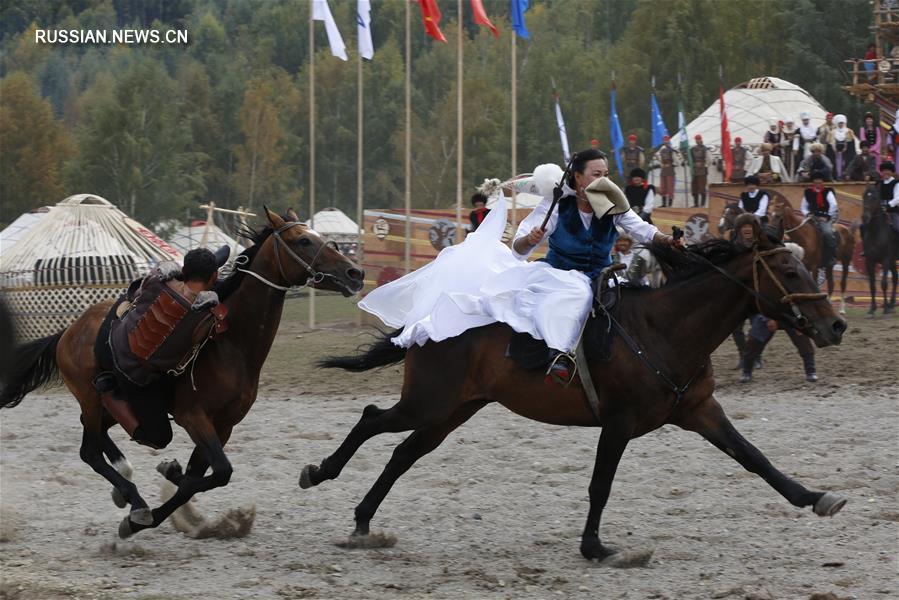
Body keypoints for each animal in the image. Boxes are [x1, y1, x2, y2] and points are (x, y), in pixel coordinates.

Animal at [1, 209, 366, 536]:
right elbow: (217, 473)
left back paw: (124, 481)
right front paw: (143, 514)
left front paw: (165, 492)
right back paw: (133, 497)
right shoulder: (194, 417)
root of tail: (67, 332)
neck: (230, 343)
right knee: (90, 450)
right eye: (303, 240)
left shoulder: (223, 426)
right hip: (95, 398)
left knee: (93, 437)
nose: (355, 273)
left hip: (116, 406)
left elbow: (199, 479)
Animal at [302, 226, 852, 564]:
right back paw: (320, 474)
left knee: (403, 452)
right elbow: (600, 485)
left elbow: (753, 457)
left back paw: (363, 522)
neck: (662, 329)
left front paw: (814, 497)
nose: (836, 325)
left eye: (805, 267)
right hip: (430, 403)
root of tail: (431, 318)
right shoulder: (620, 422)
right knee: (372, 419)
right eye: (789, 272)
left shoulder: (700, 410)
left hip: (452, 411)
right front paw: (594, 546)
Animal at [860, 185, 896, 316]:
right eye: (864, 196)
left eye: (875, 198)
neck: (876, 232)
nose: (865, 217)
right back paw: (891, 304)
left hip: (890, 261)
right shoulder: (869, 261)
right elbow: (872, 285)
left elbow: (884, 284)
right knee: (895, 278)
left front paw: (885, 309)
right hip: (892, 262)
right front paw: (872, 308)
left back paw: (889, 305)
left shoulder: (885, 260)